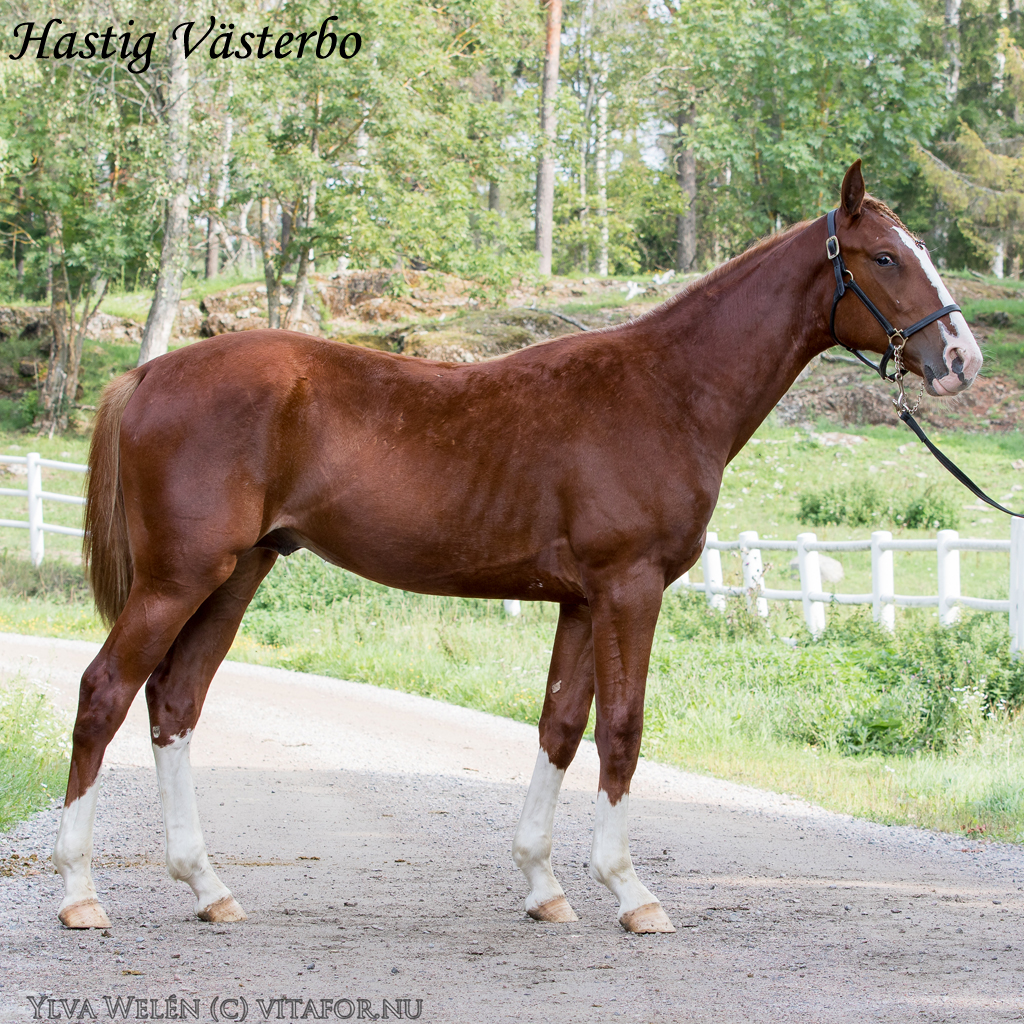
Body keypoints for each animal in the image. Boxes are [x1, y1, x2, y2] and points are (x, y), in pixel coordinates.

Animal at [54, 161, 974, 937]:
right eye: (886, 257)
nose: (962, 358)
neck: (668, 392)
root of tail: (148, 375)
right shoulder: (630, 588)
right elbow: (623, 730)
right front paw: (630, 893)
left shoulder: (581, 600)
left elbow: (561, 726)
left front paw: (544, 886)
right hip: (178, 579)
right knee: (104, 693)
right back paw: (81, 897)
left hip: (236, 574)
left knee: (175, 703)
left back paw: (208, 888)